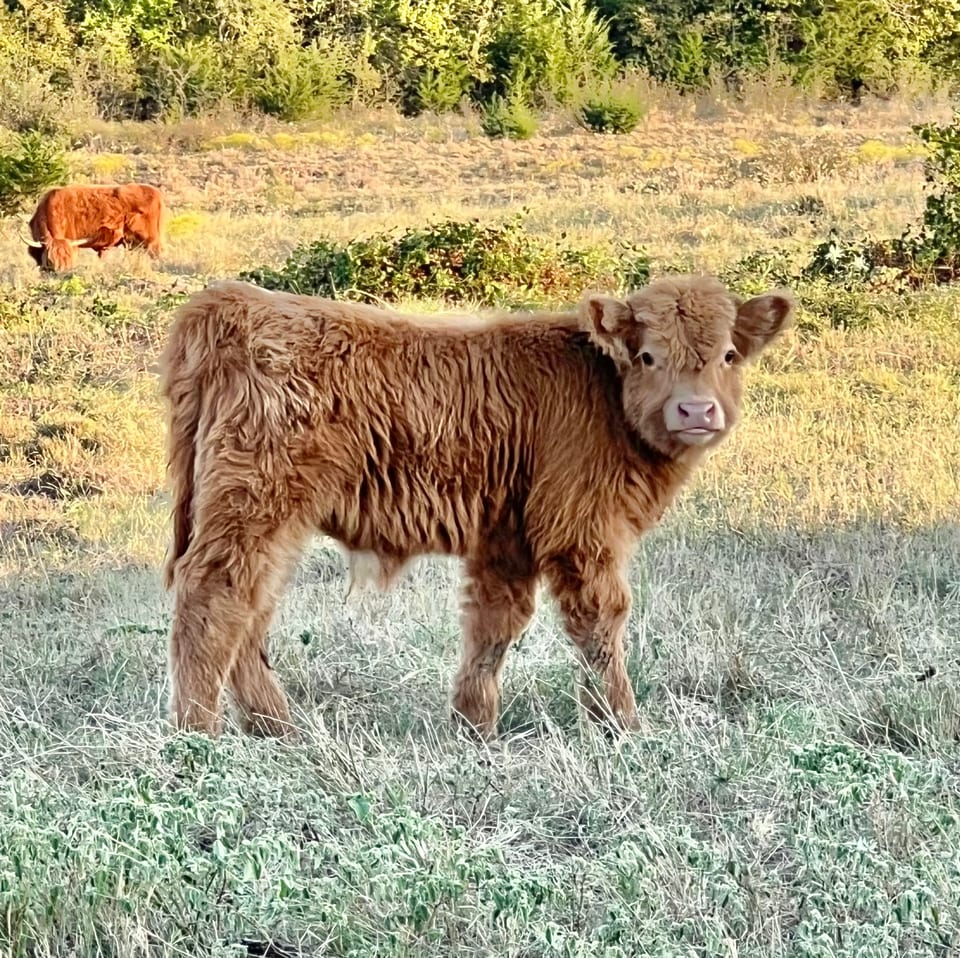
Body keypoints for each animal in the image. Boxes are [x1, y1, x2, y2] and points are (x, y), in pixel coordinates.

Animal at [160, 275, 794, 740]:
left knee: (252, 608)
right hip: (254, 505)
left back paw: (279, 729)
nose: (696, 411)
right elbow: (600, 621)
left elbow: (493, 624)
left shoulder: (507, 537)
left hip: (272, 522)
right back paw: (200, 735)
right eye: (646, 356)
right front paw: (623, 725)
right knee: (215, 596)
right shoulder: (580, 530)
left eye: (729, 355)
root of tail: (236, 303)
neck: (604, 394)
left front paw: (474, 728)